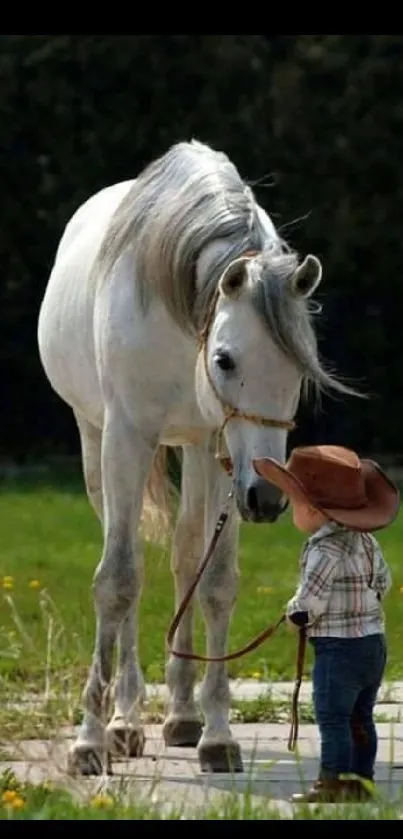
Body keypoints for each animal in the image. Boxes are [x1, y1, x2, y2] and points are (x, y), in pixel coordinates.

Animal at [38, 138, 354, 776]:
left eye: (299, 368)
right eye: (226, 359)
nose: (269, 498)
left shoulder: (222, 449)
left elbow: (215, 582)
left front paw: (217, 735)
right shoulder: (125, 437)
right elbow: (118, 580)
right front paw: (89, 742)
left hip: (200, 454)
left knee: (186, 555)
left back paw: (181, 716)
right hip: (97, 440)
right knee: (129, 559)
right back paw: (124, 722)